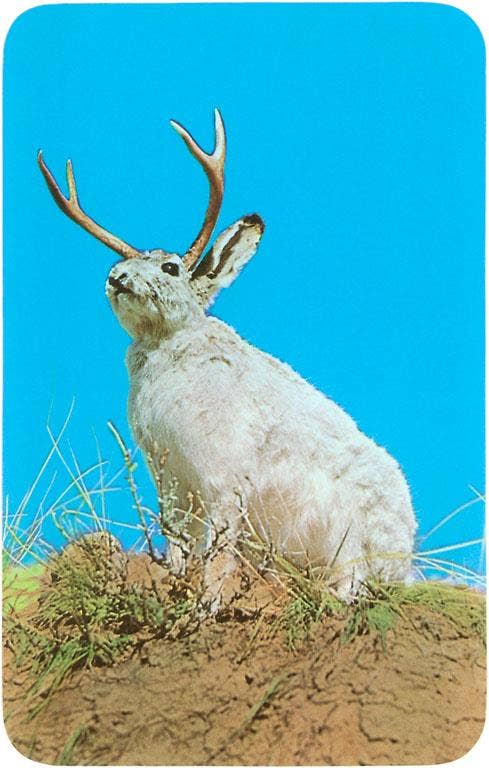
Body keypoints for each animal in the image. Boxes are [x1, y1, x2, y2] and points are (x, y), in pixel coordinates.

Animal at [38, 109, 417, 612]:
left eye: (170, 268)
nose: (116, 277)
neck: (168, 345)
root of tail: (405, 555)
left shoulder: (222, 482)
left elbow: (219, 554)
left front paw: (208, 607)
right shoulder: (172, 486)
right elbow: (179, 544)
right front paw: (178, 584)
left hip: (350, 545)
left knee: (347, 587)